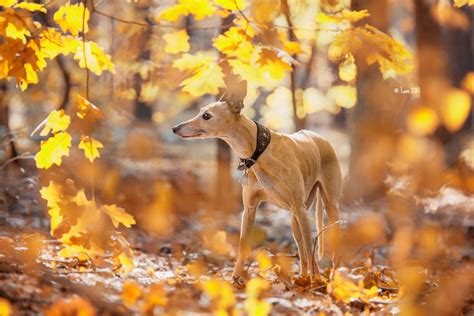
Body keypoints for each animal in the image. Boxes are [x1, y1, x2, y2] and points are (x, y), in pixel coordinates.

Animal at [172, 81, 342, 284]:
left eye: (206, 116)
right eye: (200, 112)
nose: (175, 128)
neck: (258, 151)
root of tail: (319, 137)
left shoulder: (300, 209)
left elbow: (310, 250)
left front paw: (312, 283)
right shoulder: (250, 210)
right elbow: (242, 247)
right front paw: (236, 278)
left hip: (326, 207)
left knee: (318, 249)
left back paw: (327, 278)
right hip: (296, 217)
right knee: (303, 249)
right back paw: (304, 277)